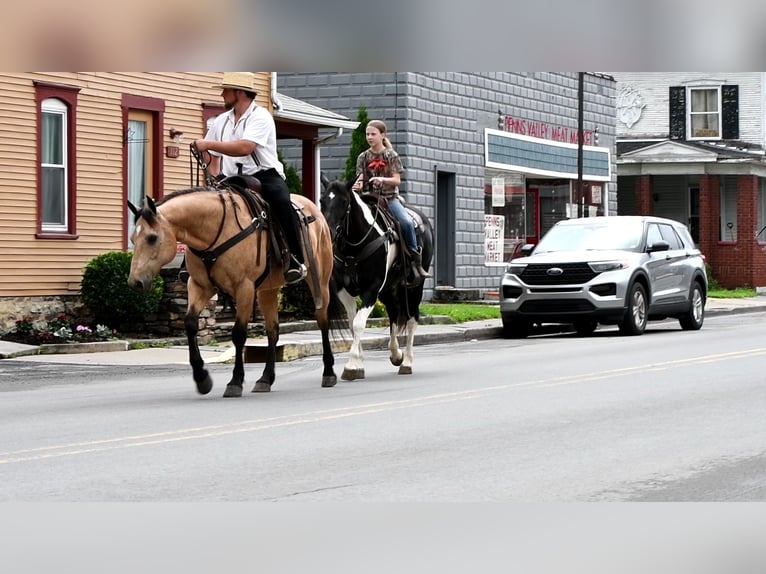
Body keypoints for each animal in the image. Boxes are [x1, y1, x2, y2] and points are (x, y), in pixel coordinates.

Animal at [128, 182, 340, 398]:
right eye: (133, 239)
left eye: (152, 238)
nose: (135, 282)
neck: (213, 232)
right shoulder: (199, 285)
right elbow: (190, 324)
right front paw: (202, 378)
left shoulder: (244, 287)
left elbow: (238, 334)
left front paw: (235, 381)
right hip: (267, 290)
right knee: (273, 330)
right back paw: (265, 379)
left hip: (319, 281)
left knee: (322, 322)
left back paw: (328, 372)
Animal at [320, 176, 436, 382]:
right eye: (321, 201)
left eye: (344, 202)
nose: (328, 233)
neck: (355, 246)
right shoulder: (343, 290)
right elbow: (353, 323)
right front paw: (359, 363)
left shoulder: (371, 289)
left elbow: (359, 323)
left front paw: (351, 365)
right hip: (386, 288)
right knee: (393, 311)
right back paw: (396, 354)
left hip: (414, 285)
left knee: (412, 318)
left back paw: (407, 362)